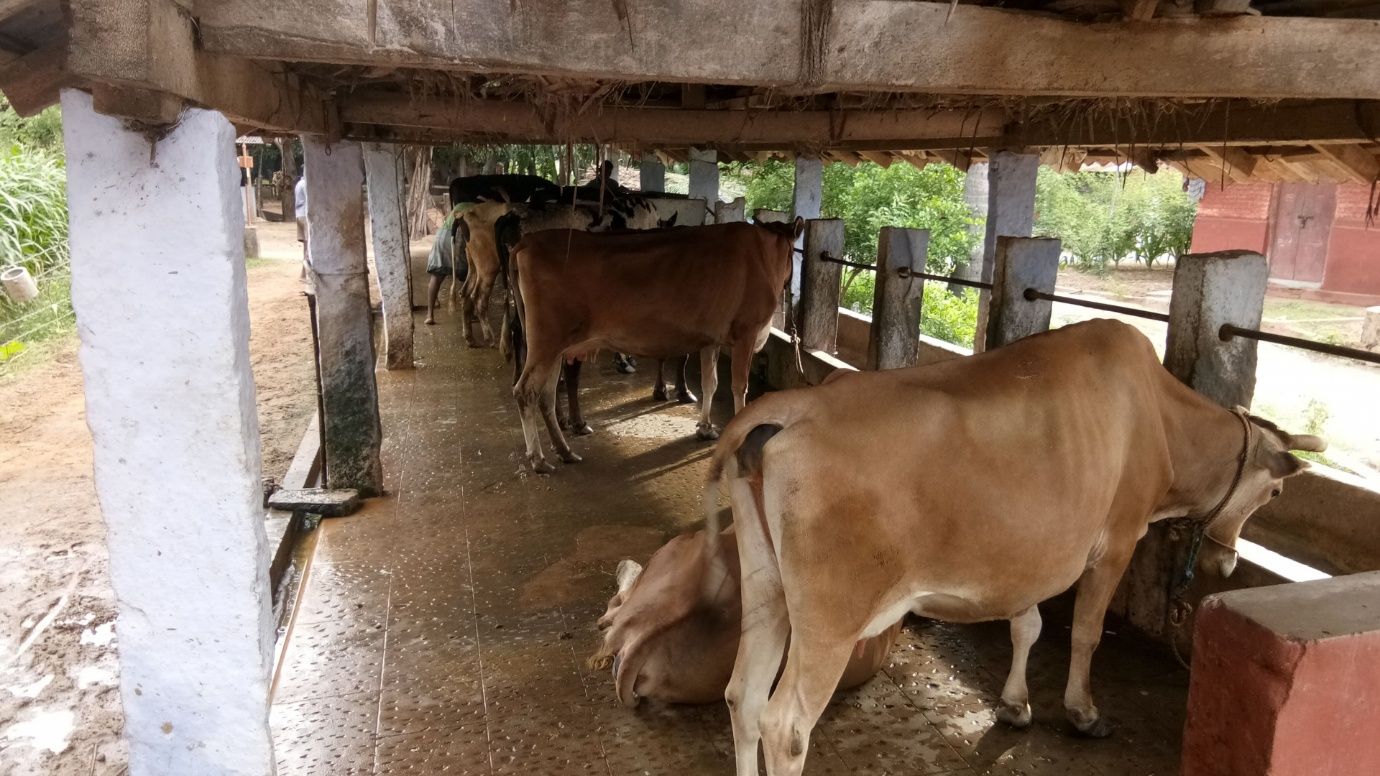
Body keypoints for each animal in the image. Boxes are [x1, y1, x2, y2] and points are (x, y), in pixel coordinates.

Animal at [510, 219, 802, 474]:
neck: (764, 255)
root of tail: (527, 240)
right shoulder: (746, 332)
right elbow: (739, 387)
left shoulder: (712, 339)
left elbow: (710, 382)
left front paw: (705, 427)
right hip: (546, 341)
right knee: (526, 391)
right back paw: (538, 459)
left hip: (556, 348)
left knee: (546, 394)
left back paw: (565, 451)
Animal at [702, 319, 1325, 776]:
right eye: (1274, 493)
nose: (1227, 561)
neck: (1163, 420)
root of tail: (788, 408)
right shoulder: (1119, 538)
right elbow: (1085, 632)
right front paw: (1083, 712)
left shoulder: (1029, 555)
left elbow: (1028, 625)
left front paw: (1015, 703)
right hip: (832, 614)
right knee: (786, 727)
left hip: (768, 586)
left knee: (743, 697)